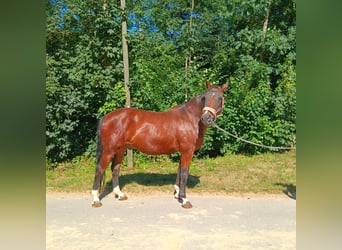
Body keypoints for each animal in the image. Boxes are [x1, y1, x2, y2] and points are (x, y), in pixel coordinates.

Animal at [92, 81, 228, 208]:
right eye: (206, 97)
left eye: (219, 98)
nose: (206, 118)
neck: (190, 118)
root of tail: (106, 117)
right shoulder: (187, 151)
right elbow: (184, 173)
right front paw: (184, 200)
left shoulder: (183, 152)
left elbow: (179, 171)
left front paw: (177, 194)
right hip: (109, 150)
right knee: (100, 169)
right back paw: (96, 200)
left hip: (120, 149)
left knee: (115, 169)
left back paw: (120, 194)